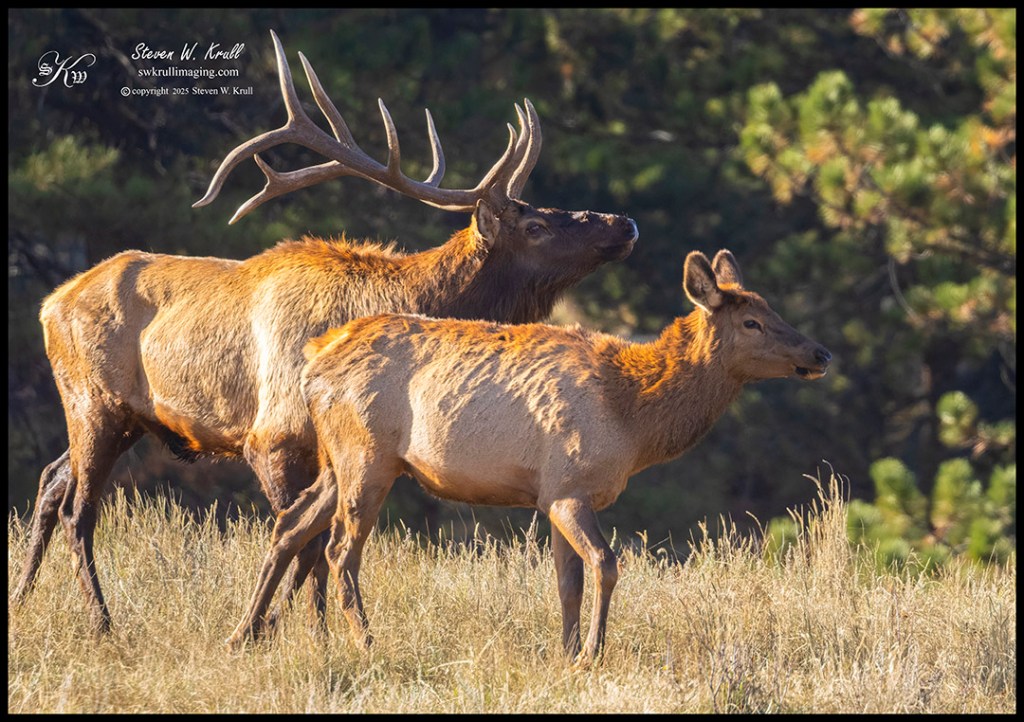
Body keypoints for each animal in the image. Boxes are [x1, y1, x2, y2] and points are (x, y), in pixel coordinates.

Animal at [10, 30, 639, 636]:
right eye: (535, 226)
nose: (624, 222)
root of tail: (49, 303)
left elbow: (311, 546)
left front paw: (309, 632)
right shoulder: (274, 437)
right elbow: (304, 542)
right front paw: (284, 631)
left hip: (128, 416)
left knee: (50, 479)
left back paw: (22, 597)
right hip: (95, 400)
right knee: (78, 509)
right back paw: (101, 621)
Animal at [224, 249, 831, 662]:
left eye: (773, 308)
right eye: (751, 321)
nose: (820, 352)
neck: (633, 420)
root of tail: (313, 360)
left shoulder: (554, 496)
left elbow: (568, 583)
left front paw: (566, 654)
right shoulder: (567, 485)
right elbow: (605, 564)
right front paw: (591, 656)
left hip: (339, 460)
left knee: (290, 524)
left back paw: (244, 632)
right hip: (366, 455)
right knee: (339, 550)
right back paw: (366, 643)